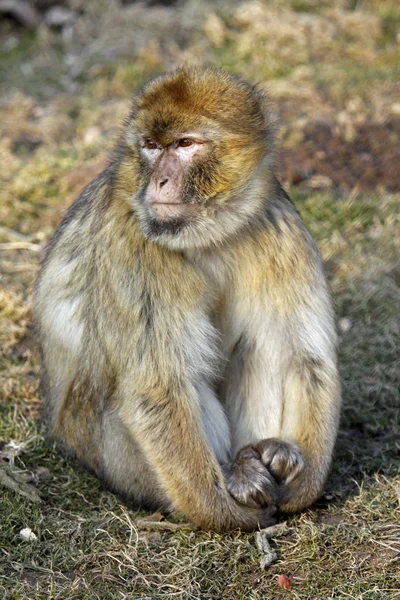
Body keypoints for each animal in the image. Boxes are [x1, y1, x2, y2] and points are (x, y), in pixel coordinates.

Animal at [34, 68, 340, 532]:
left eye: (184, 144)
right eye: (150, 145)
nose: (159, 181)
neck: (206, 234)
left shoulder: (278, 224)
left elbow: (304, 358)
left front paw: (304, 485)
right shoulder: (133, 246)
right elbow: (158, 387)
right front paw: (222, 511)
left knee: (265, 349)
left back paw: (264, 454)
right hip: (118, 460)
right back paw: (238, 473)